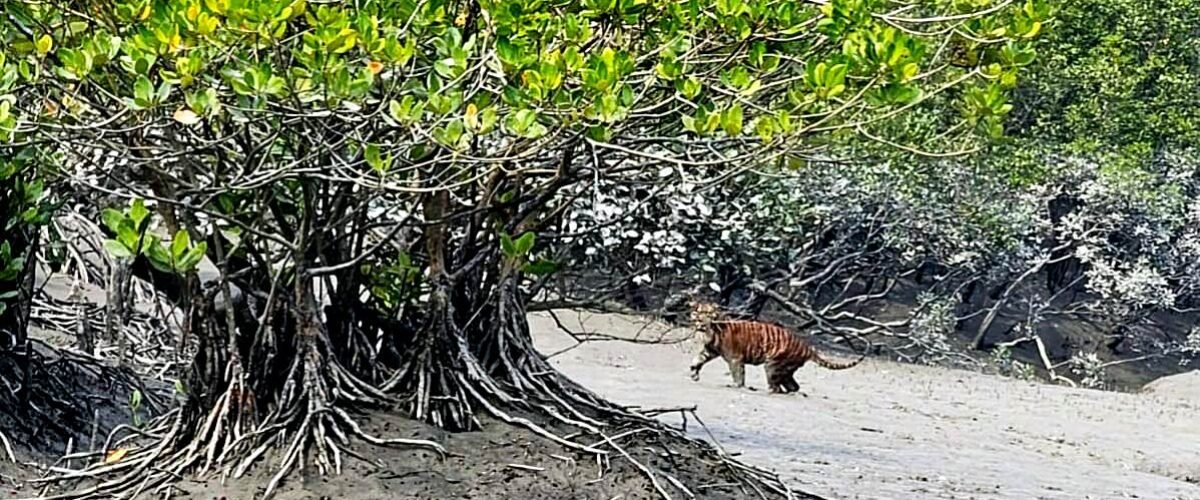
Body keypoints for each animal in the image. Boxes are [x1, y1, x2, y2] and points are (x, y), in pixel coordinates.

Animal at [691, 299, 868, 393]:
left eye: (708, 314)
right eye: (699, 313)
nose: (701, 322)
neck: (711, 331)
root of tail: (807, 347)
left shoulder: (735, 359)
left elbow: (738, 374)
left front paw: (736, 386)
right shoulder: (709, 350)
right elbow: (696, 360)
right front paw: (694, 374)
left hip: (773, 365)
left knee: (776, 387)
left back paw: (769, 391)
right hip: (786, 370)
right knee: (793, 386)